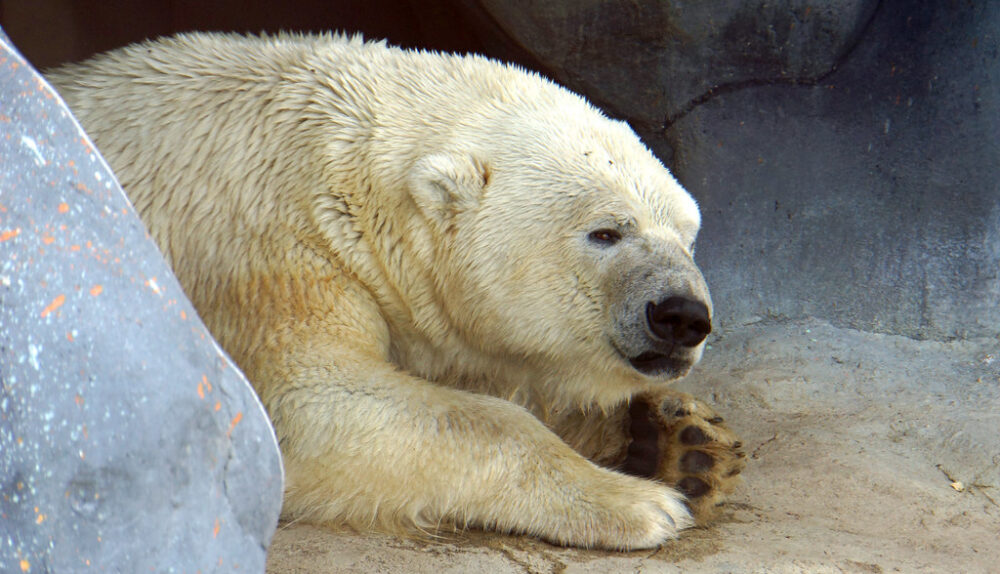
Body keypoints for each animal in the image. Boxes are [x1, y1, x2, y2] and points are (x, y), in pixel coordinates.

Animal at [48, 32, 745, 550]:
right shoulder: (266, 252)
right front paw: (642, 502)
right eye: (606, 231)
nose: (681, 315)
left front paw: (682, 443)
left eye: (688, 235)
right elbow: (310, 406)